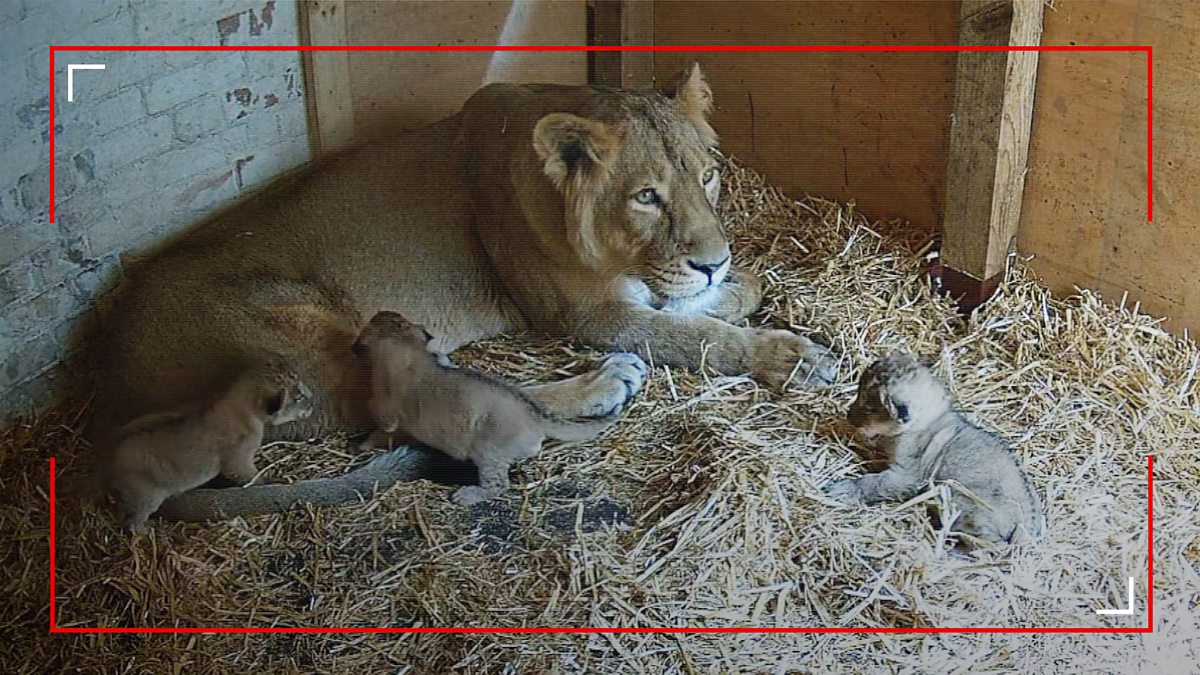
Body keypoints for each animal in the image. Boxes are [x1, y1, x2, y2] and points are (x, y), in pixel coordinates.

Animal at [73, 64, 838, 521]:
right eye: (646, 196)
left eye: (707, 176)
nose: (712, 259)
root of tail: (106, 390)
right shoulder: (583, 313)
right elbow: (693, 334)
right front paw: (791, 355)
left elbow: (718, 298)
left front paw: (736, 284)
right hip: (313, 345)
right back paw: (604, 383)